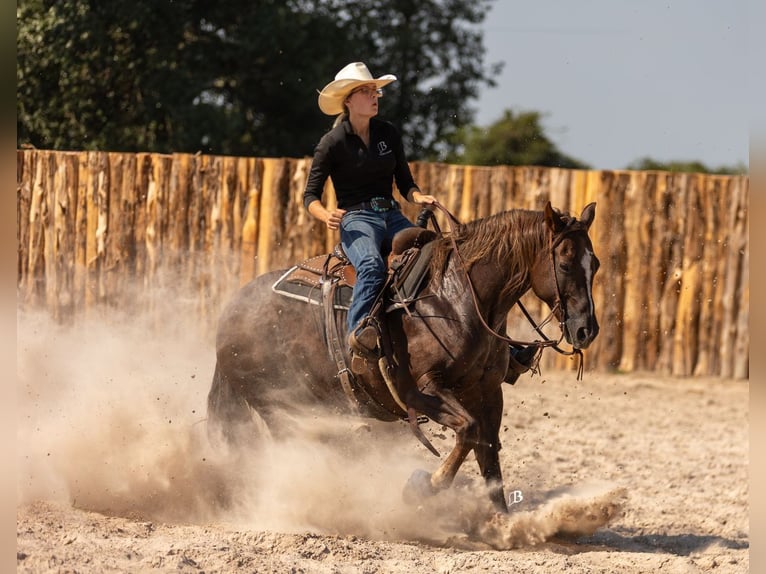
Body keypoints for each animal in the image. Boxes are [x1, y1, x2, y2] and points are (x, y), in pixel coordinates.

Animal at [206, 201, 599, 512]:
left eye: (594, 264)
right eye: (565, 265)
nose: (586, 330)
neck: (454, 298)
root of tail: (230, 311)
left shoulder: (487, 390)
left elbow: (488, 451)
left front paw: (501, 523)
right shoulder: (420, 390)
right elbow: (469, 431)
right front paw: (424, 487)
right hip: (277, 405)